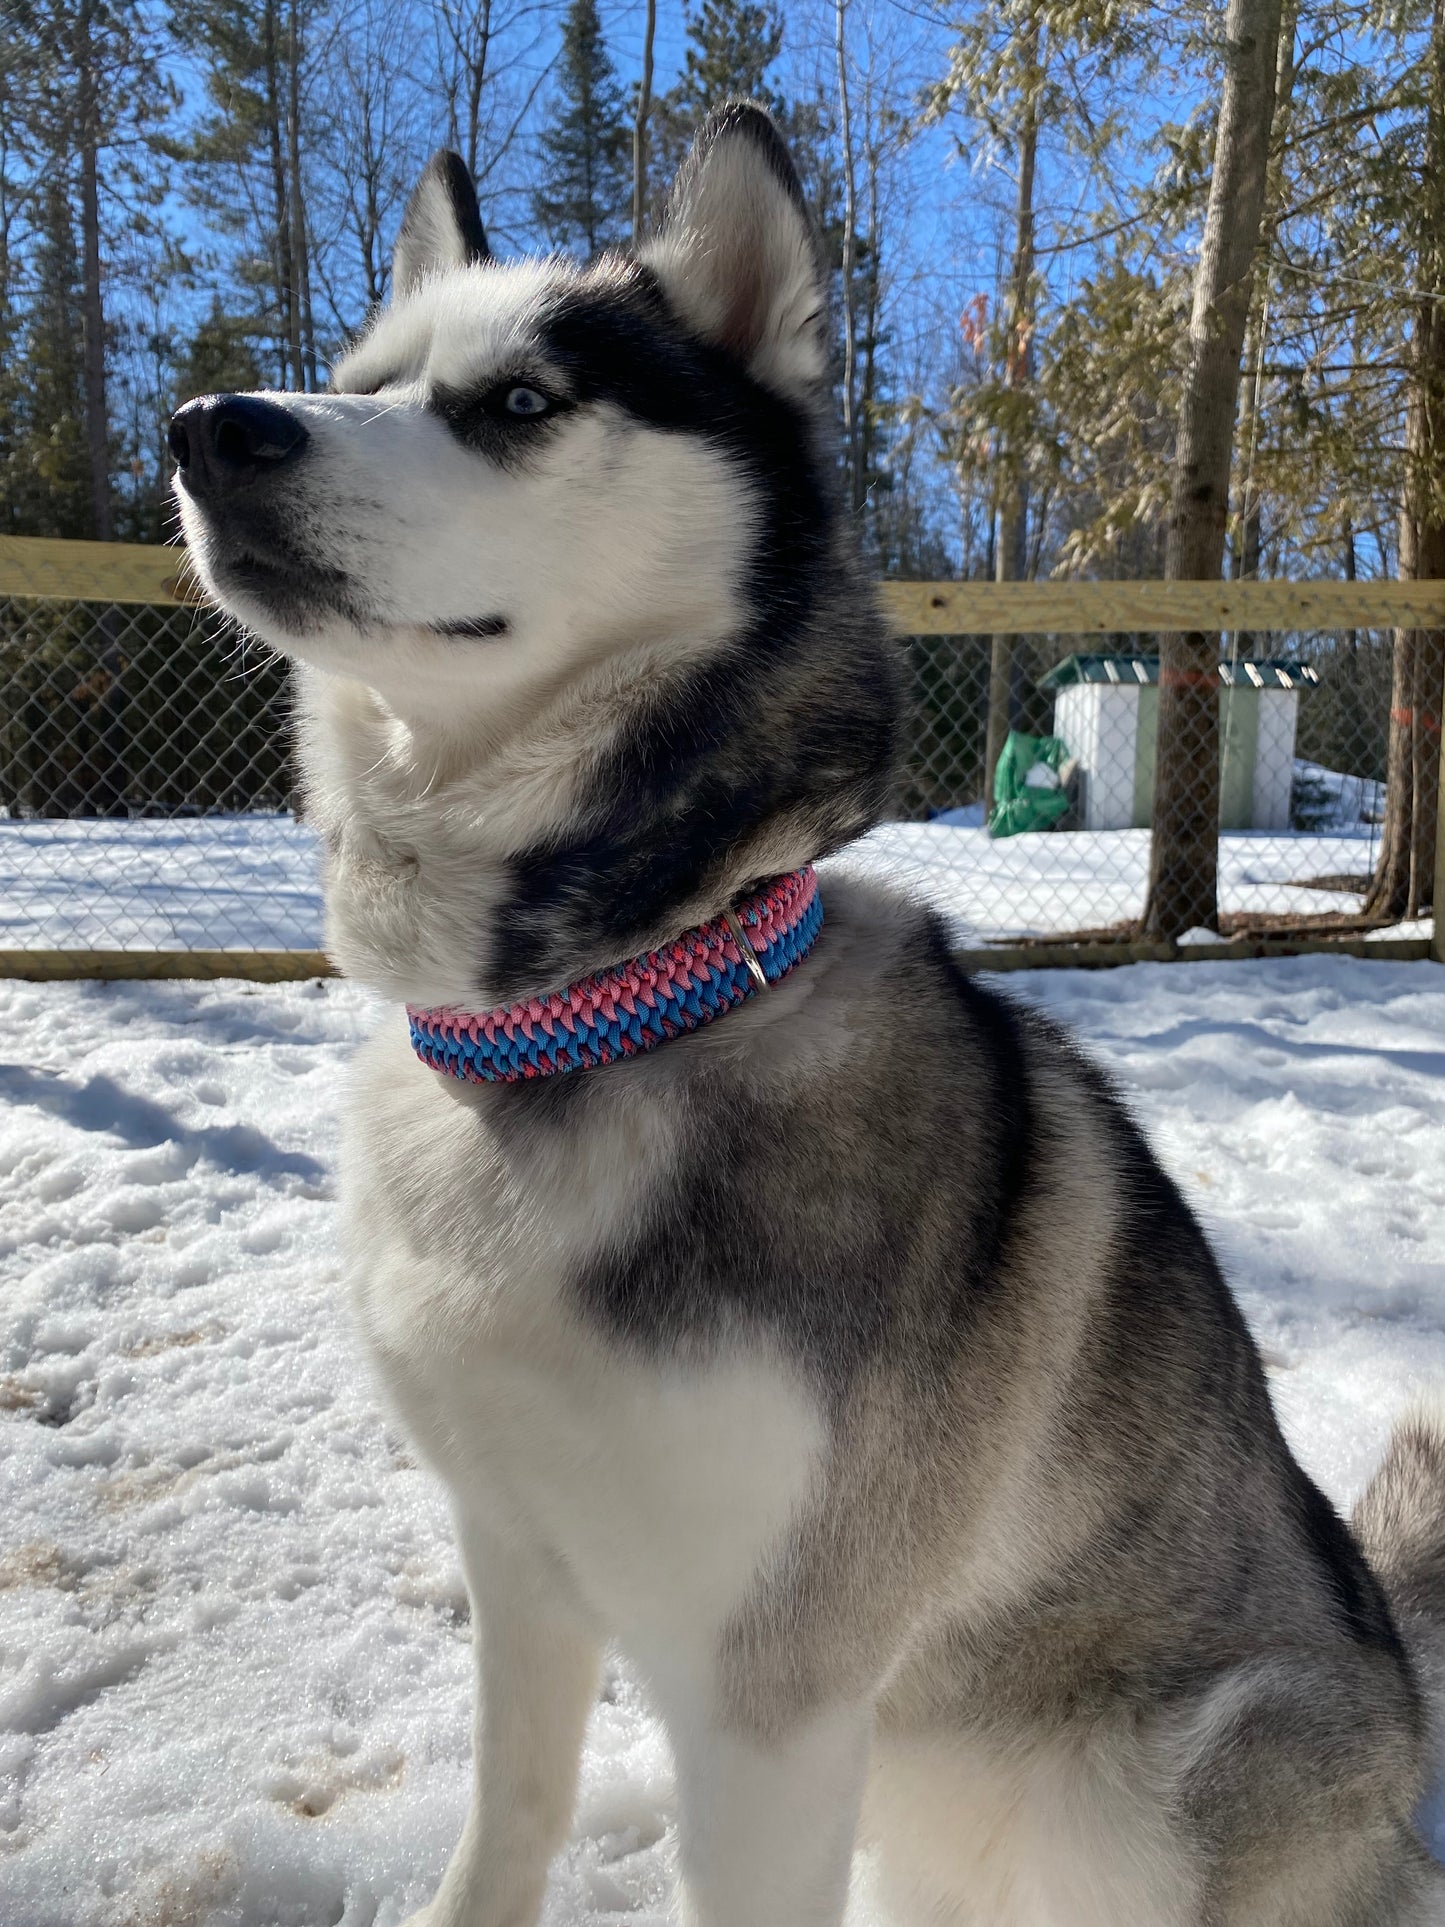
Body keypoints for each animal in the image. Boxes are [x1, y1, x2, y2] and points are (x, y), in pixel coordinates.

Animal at [172, 101, 1445, 1927]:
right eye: (361, 375)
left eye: (520, 403)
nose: (211, 428)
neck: (600, 1011)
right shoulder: (522, 1562)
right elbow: (511, 1819)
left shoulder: (770, 1696)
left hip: (1146, 1791)